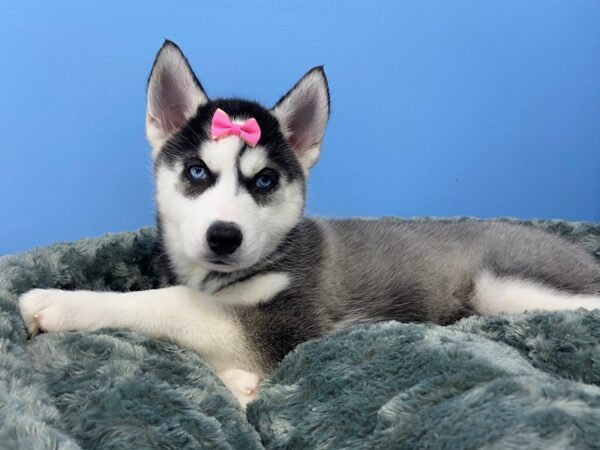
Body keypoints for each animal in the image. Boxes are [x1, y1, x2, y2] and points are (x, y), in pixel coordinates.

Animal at [19, 41, 600, 408]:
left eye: (264, 181)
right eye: (197, 171)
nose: (224, 236)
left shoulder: (285, 326)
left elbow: (172, 304)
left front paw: (57, 302)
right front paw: (238, 385)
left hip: (508, 287)